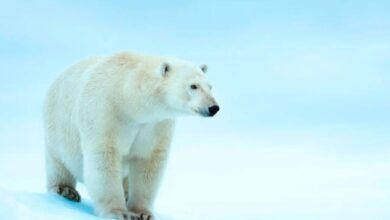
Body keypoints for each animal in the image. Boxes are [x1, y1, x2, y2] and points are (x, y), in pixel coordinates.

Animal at [43, 51, 219, 218]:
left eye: (210, 86)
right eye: (193, 86)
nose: (213, 107)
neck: (127, 97)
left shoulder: (155, 125)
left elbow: (148, 162)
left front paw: (143, 213)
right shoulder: (105, 111)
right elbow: (104, 156)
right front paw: (119, 212)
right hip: (57, 125)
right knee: (58, 162)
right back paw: (65, 190)